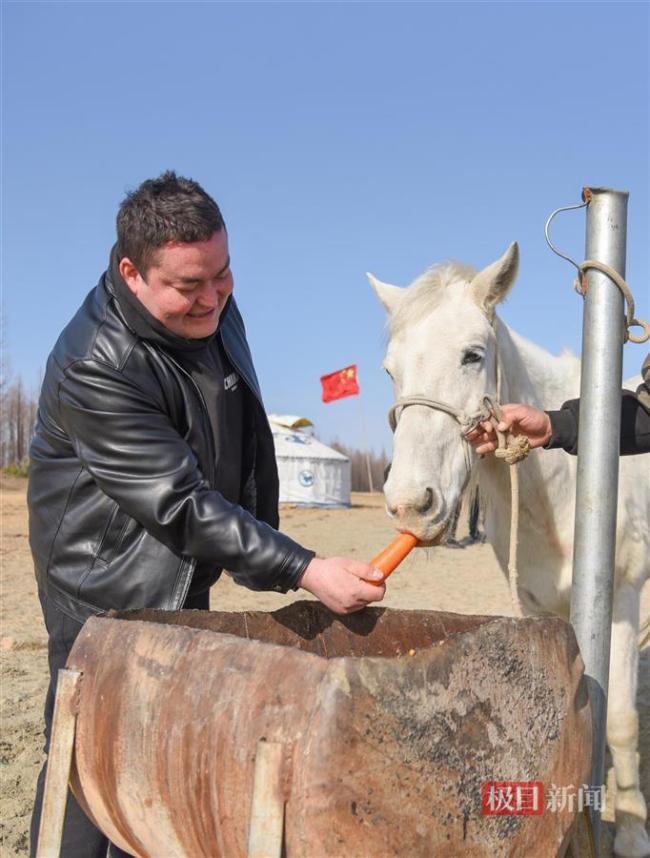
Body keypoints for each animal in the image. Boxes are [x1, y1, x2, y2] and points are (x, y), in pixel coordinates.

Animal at [370, 241, 648, 856]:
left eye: (473, 355)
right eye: (390, 370)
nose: (410, 504)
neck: (571, 487)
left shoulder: (619, 598)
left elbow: (619, 720)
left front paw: (633, 830)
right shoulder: (545, 606)